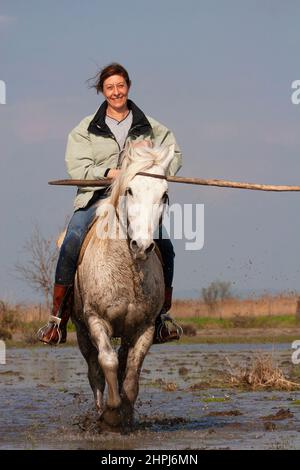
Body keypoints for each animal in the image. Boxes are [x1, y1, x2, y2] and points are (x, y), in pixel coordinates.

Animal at [72, 143, 175, 430]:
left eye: (164, 195)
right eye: (129, 190)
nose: (142, 246)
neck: (128, 268)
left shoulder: (144, 327)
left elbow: (131, 373)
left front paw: (125, 414)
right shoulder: (96, 319)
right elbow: (106, 361)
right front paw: (110, 414)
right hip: (80, 330)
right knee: (94, 369)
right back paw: (99, 408)